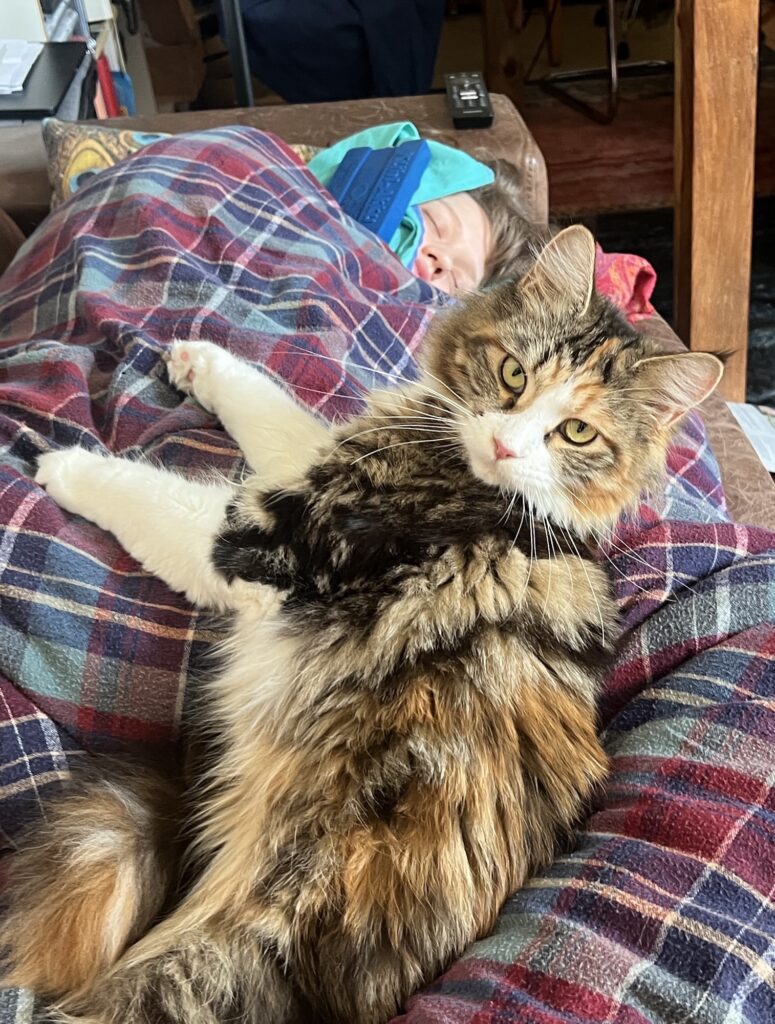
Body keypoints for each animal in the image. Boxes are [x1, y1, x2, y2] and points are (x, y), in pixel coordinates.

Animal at [3, 226, 722, 1024]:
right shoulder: (320, 462)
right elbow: (268, 405)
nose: (506, 446)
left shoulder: (271, 544)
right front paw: (200, 362)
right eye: (512, 374)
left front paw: (60, 464)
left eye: (575, 433)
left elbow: (148, 493)